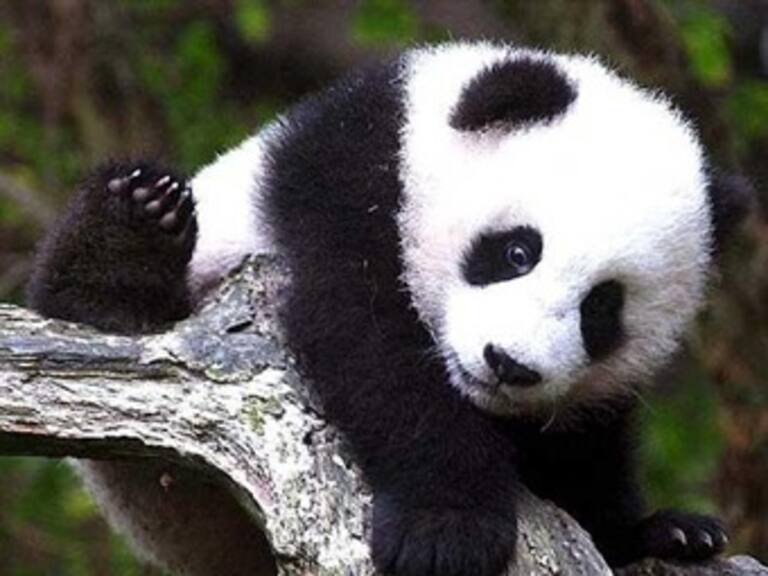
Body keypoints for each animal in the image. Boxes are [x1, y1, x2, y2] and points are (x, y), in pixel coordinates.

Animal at [27, 42, 752, 576]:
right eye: (517, 251)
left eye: (602, 309)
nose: (508, 364)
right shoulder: (349, 181)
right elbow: (370, 345)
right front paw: (448, 529)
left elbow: (587, 442)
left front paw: (662, 532)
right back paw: (132, 230)